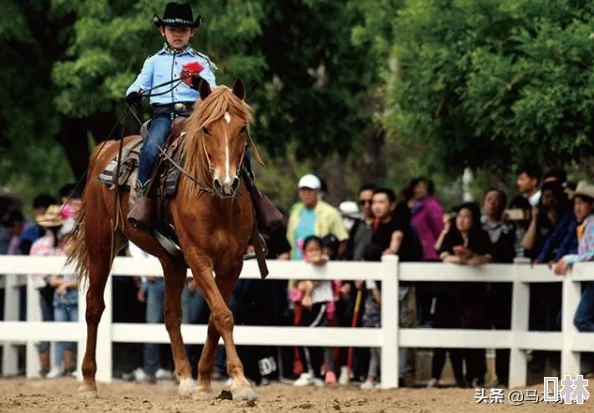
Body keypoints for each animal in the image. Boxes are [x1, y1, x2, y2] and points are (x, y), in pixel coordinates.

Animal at [66, 79, 258, 400]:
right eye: (206, 129)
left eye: (242, 128)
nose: (226, 183)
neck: (216, 204)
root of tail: (106, 149)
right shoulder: (198, 257)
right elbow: (223, 314)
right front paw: (241, 384)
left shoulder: (232, 264)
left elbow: (215, 319)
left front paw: (205, 382)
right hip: (101, 244)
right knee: (94, 306)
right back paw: (89, 382)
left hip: (171, 261)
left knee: (171, 315)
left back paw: (186, 380)